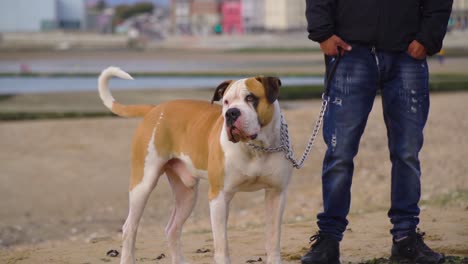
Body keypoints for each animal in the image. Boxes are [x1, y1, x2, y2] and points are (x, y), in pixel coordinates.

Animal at [98, 67, 292, 262]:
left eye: (251, 98)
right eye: (226, 101)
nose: (231, 113)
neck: (256, 148)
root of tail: (155, 109)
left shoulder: (276, 194)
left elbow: (273, 239)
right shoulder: (219, 196)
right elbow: (221, 245)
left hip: (187, 194)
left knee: (172, 229)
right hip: (143, 184)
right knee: (129, 228)